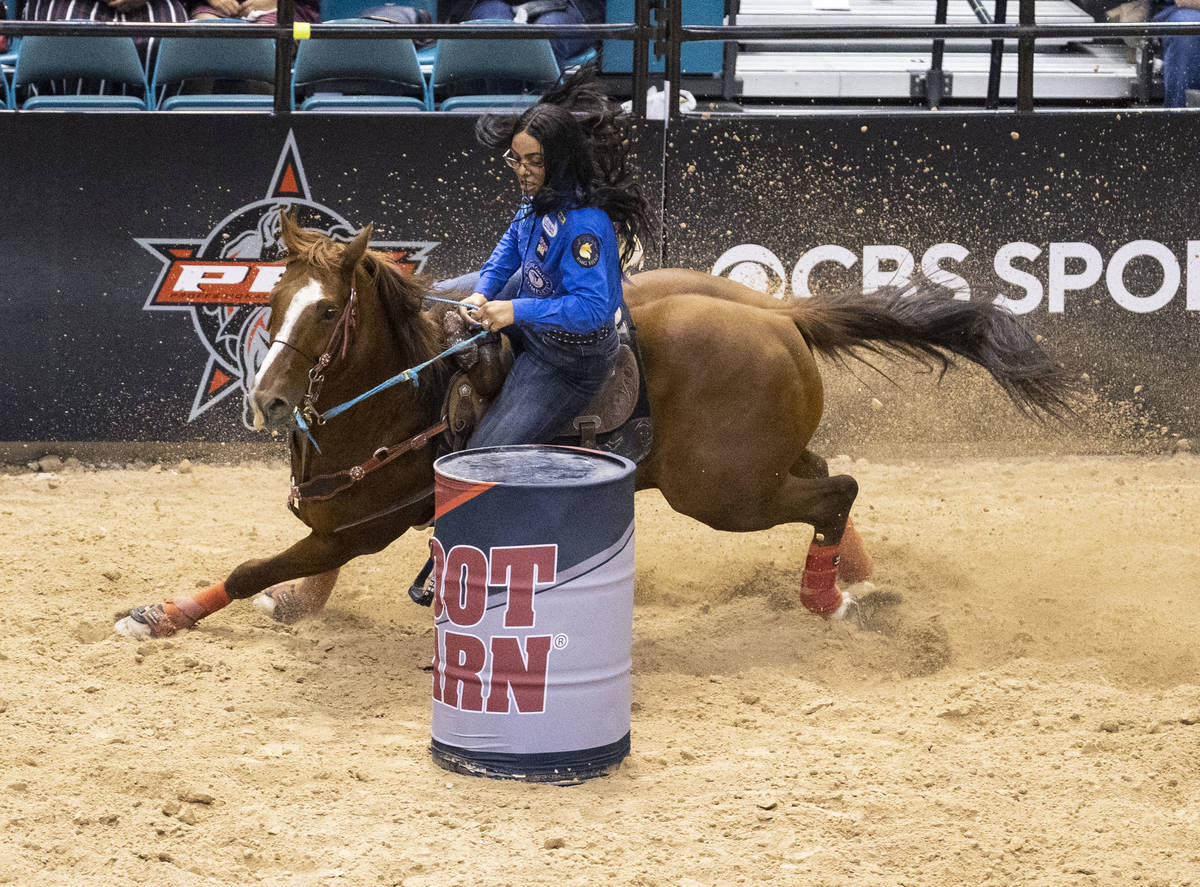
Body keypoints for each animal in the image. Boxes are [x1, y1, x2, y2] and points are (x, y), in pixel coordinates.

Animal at [110, 216, 1070, 643]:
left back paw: (825, 598)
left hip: (724, 492)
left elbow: (256, 564)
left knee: (837, 487)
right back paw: (862, 582)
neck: (405, 390)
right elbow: (293, 573)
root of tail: (781, 314)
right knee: (830, 473)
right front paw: (287, 604)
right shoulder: (339, 523)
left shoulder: (365, 524)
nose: (267, 402)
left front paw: (162, 614)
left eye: (328, 312)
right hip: (755, 466)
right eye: (271, 297)